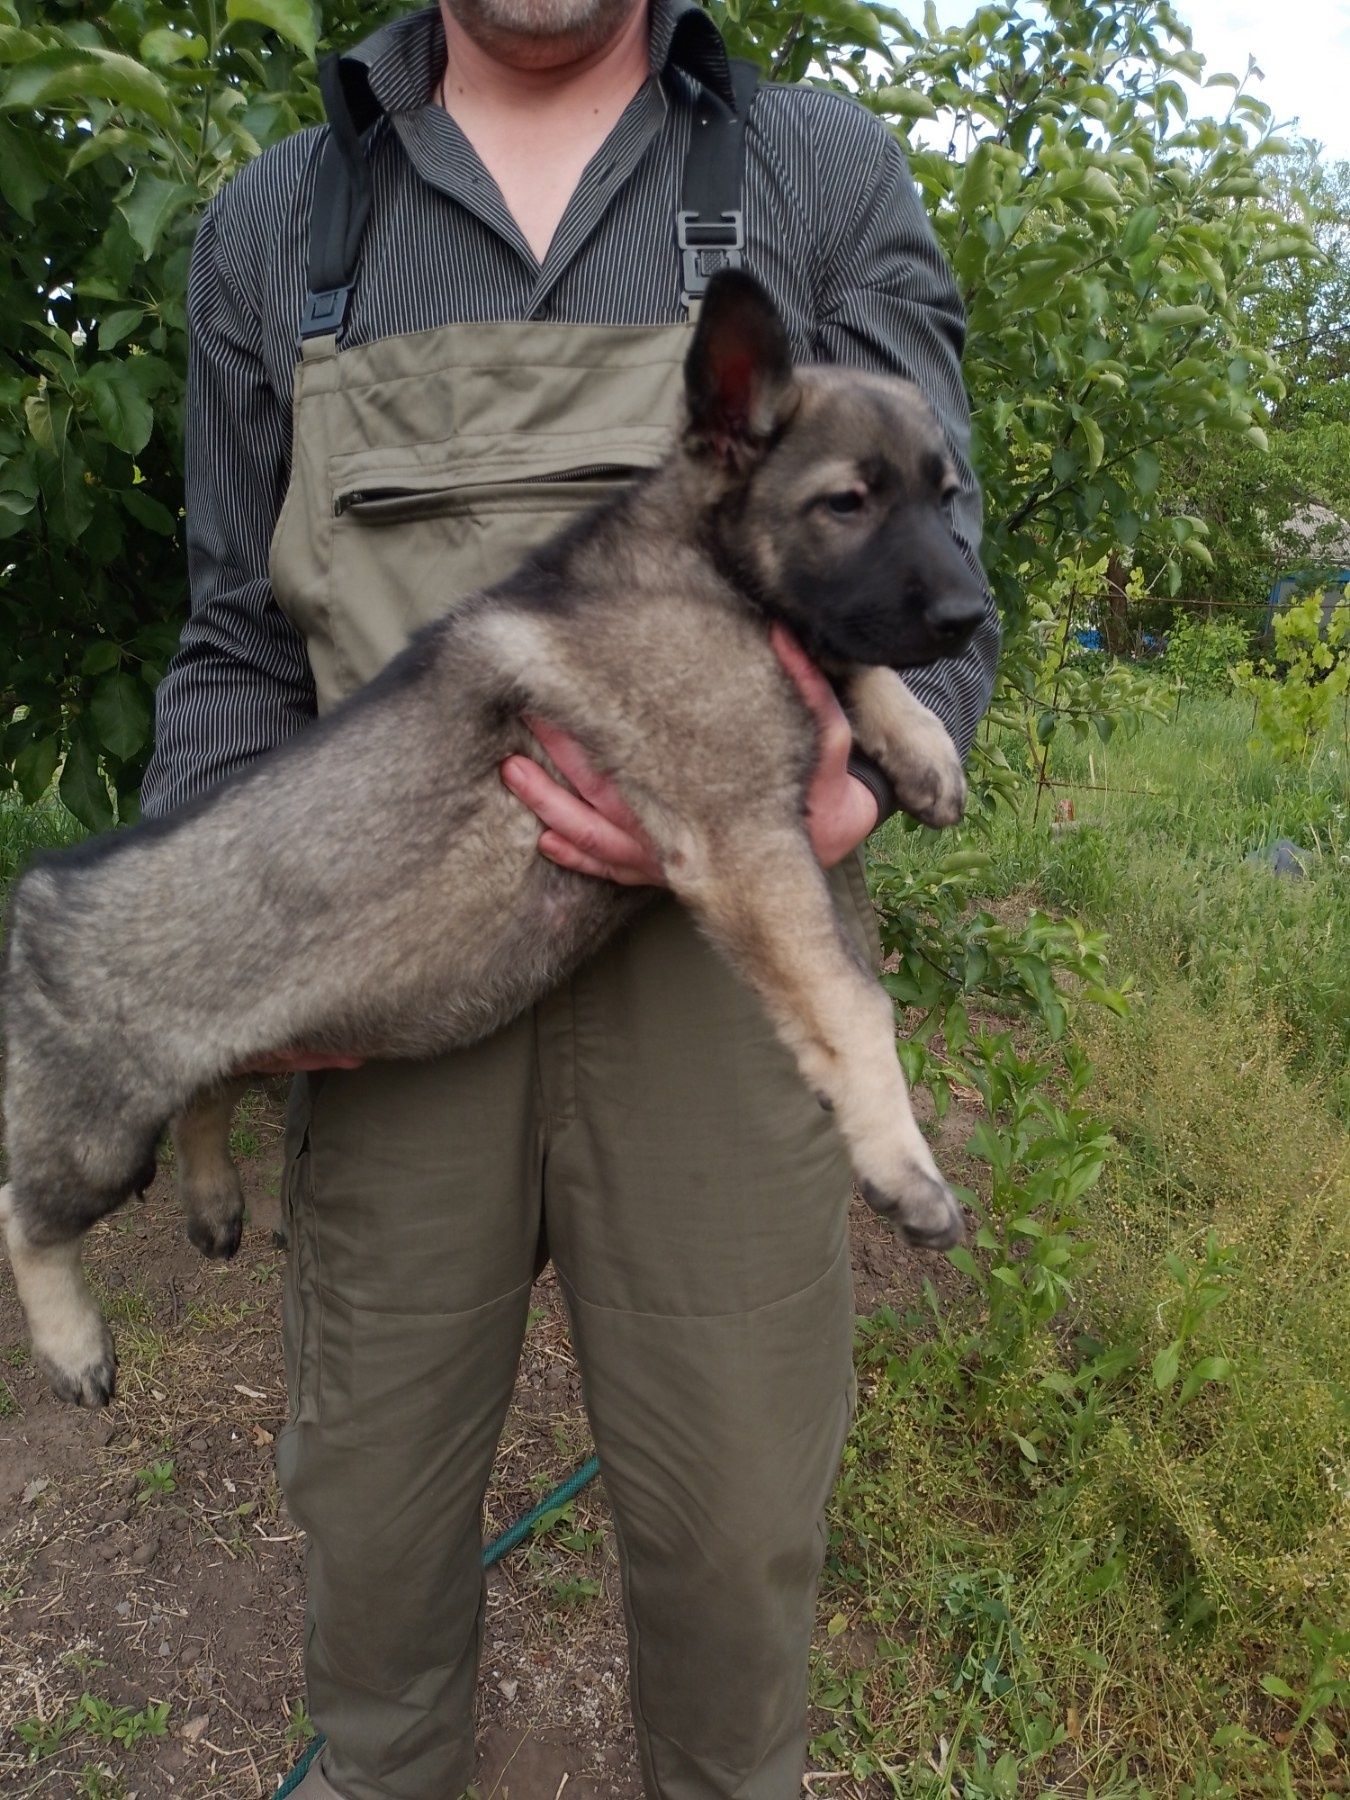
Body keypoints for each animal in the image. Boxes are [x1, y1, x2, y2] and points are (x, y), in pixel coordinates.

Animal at [5, 273, 986, 1411]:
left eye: (946, 498)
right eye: (847, 503)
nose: (971, 613)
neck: (703, 564)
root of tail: (40, 893)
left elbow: (847, 659)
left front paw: (921, 748)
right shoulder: (742, 842)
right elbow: (855, 1007)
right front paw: (905, 1170)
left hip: (220, 1057)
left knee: (203, 1097)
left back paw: (214, 1204)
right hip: (98, 1133)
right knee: (22, 1214)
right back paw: (73, 1345)